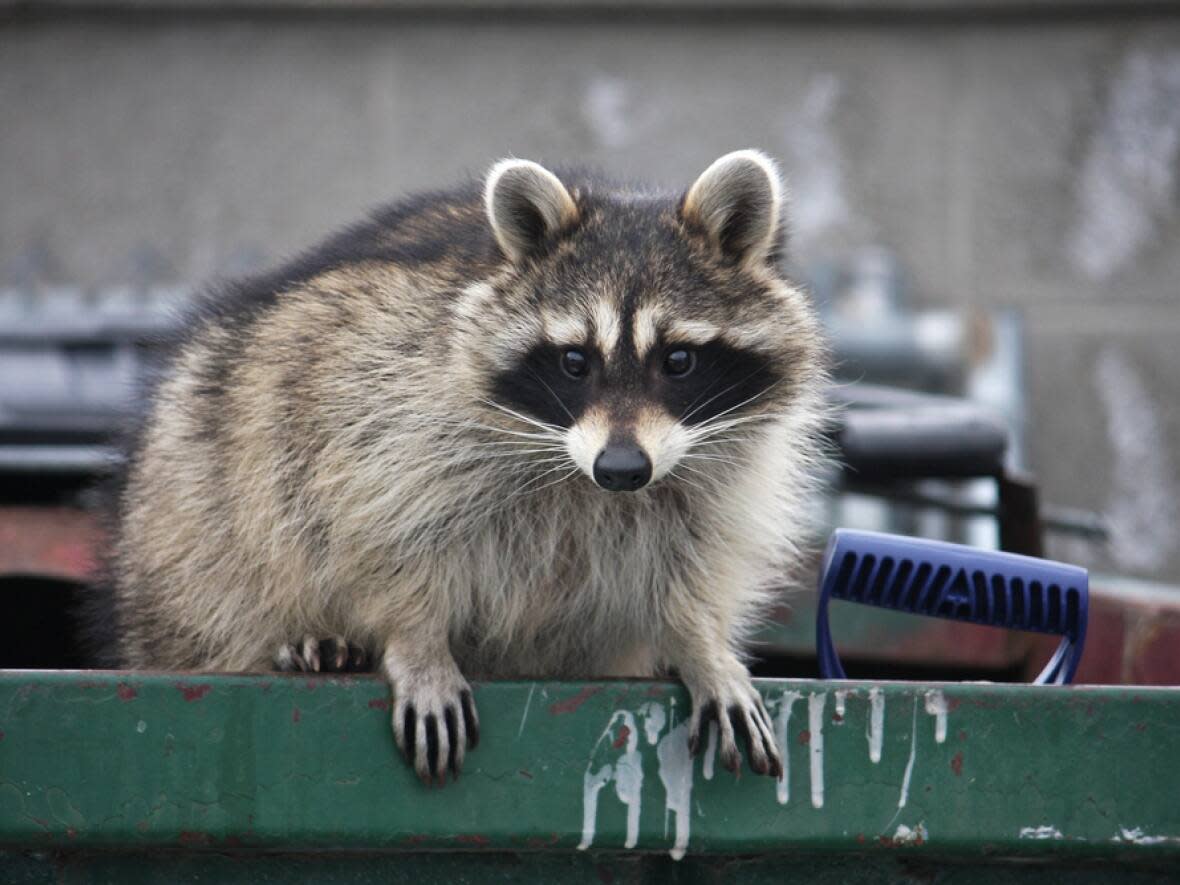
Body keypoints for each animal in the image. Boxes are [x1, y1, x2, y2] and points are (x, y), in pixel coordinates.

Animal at [101, 151, 830, 788]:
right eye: (575, 361)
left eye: (678, 360)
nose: (621, 468)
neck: (579, 474)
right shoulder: (381, 396)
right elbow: (381, 529)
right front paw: (414, 637)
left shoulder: (718, 466)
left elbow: (696, 557)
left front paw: (702, 642)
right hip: (195, 490)